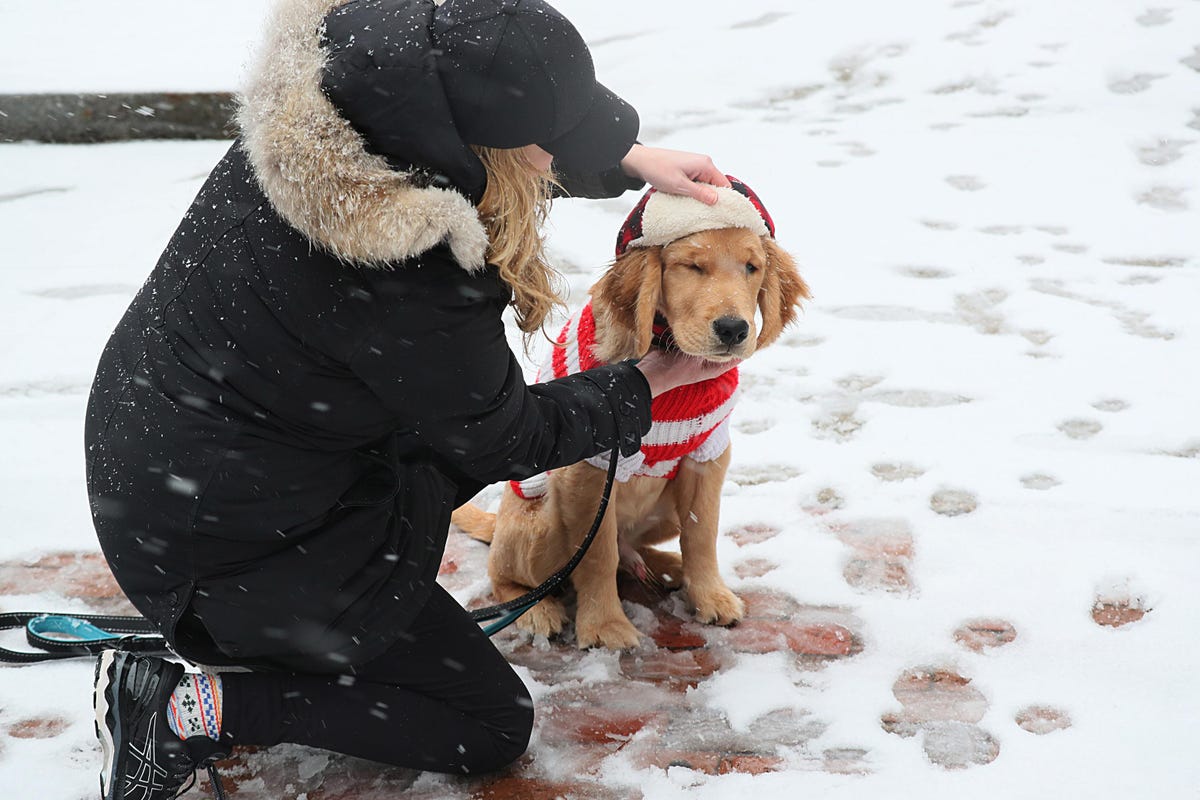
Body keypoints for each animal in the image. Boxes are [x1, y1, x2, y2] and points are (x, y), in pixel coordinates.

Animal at [453, 178, 811, 647]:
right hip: (543, 523)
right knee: (510, 576)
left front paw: (709, 593)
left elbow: (702, 531)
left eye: (752, 267)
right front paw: (605, 625)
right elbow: (597, 555)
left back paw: (667, 566)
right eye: (692, 266)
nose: (734, 329)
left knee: (639, 549)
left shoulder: (708, 453)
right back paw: (537, 611)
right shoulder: (590, 470)